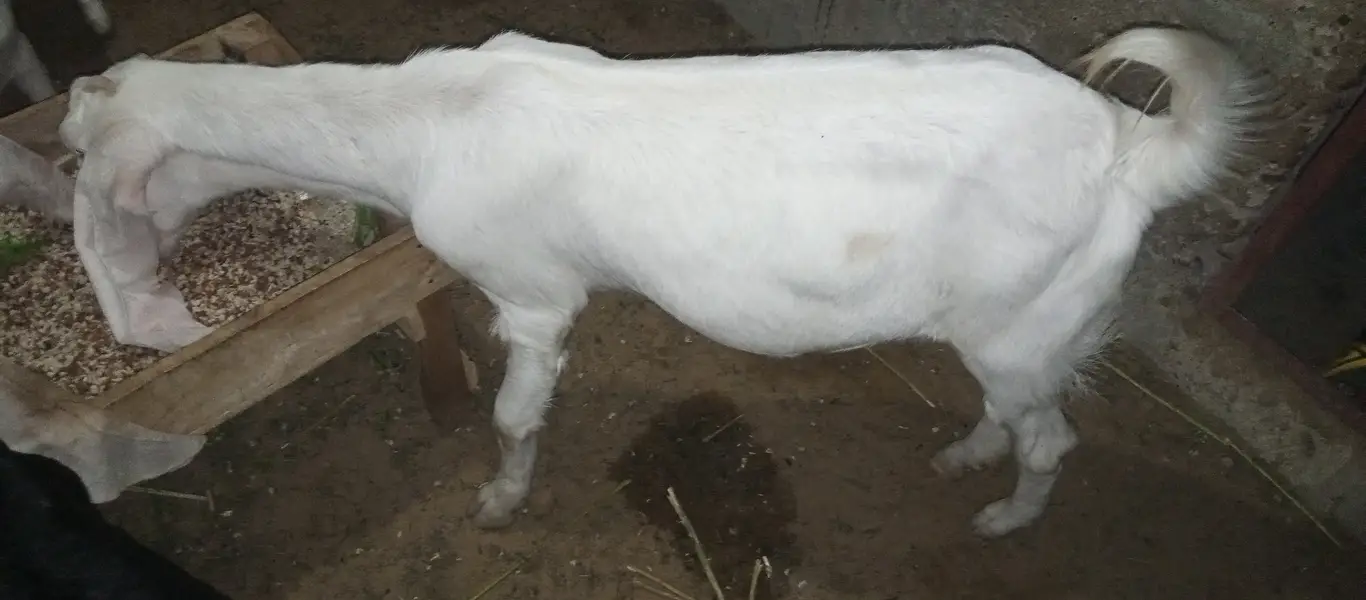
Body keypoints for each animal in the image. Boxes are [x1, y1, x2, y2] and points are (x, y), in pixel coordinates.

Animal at [57, 27, 1263, 536]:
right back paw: (965, 455)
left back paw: (1004, 519)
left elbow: (513, 412)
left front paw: (500, 501)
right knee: (1016, 413)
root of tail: (1132, 150)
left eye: (80, 162)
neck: (423, 122)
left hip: (1028, 321)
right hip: (1011, 329)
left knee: (1053, 437)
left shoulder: (531, 289)